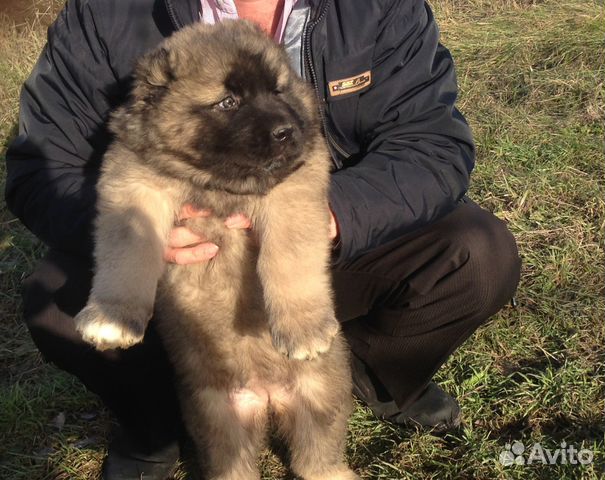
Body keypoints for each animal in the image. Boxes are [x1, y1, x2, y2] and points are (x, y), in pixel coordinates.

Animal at [75, 19, 358, 480]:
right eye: (228, 102)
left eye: (278, 90)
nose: (287, 132)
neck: (217, 182)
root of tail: (267, 395)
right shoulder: (135, 187)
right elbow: (127, 252)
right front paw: (111, 319)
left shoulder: (293, 190)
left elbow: (289, 256)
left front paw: (303, 329)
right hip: (217, 420)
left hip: (321, 395)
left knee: (317, 458)